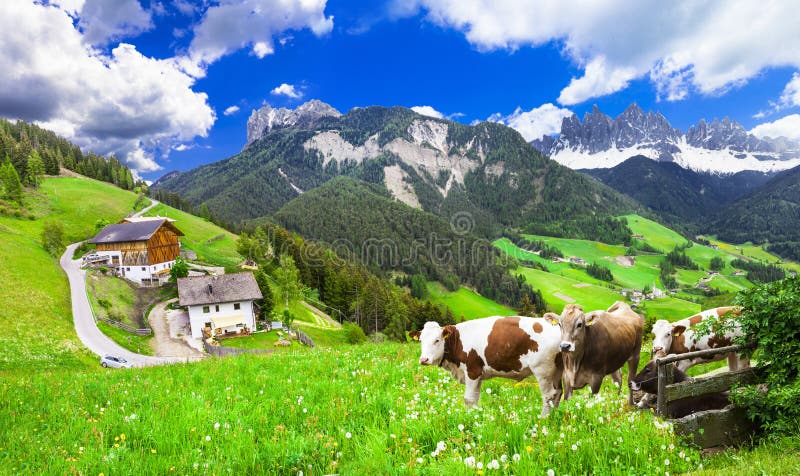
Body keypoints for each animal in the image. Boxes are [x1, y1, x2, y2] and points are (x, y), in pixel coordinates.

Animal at [412, 316, 564, 416]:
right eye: (421, 340)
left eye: (437, 340)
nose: (424, 359)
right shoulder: (478, 375)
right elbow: (475, 399)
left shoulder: (472, 371)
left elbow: (468, 399)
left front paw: (468, 418)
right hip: (557, 371)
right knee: (558, 392)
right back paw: (554, 416)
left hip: (543, 370)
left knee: (548, 395)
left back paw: (543, 418)